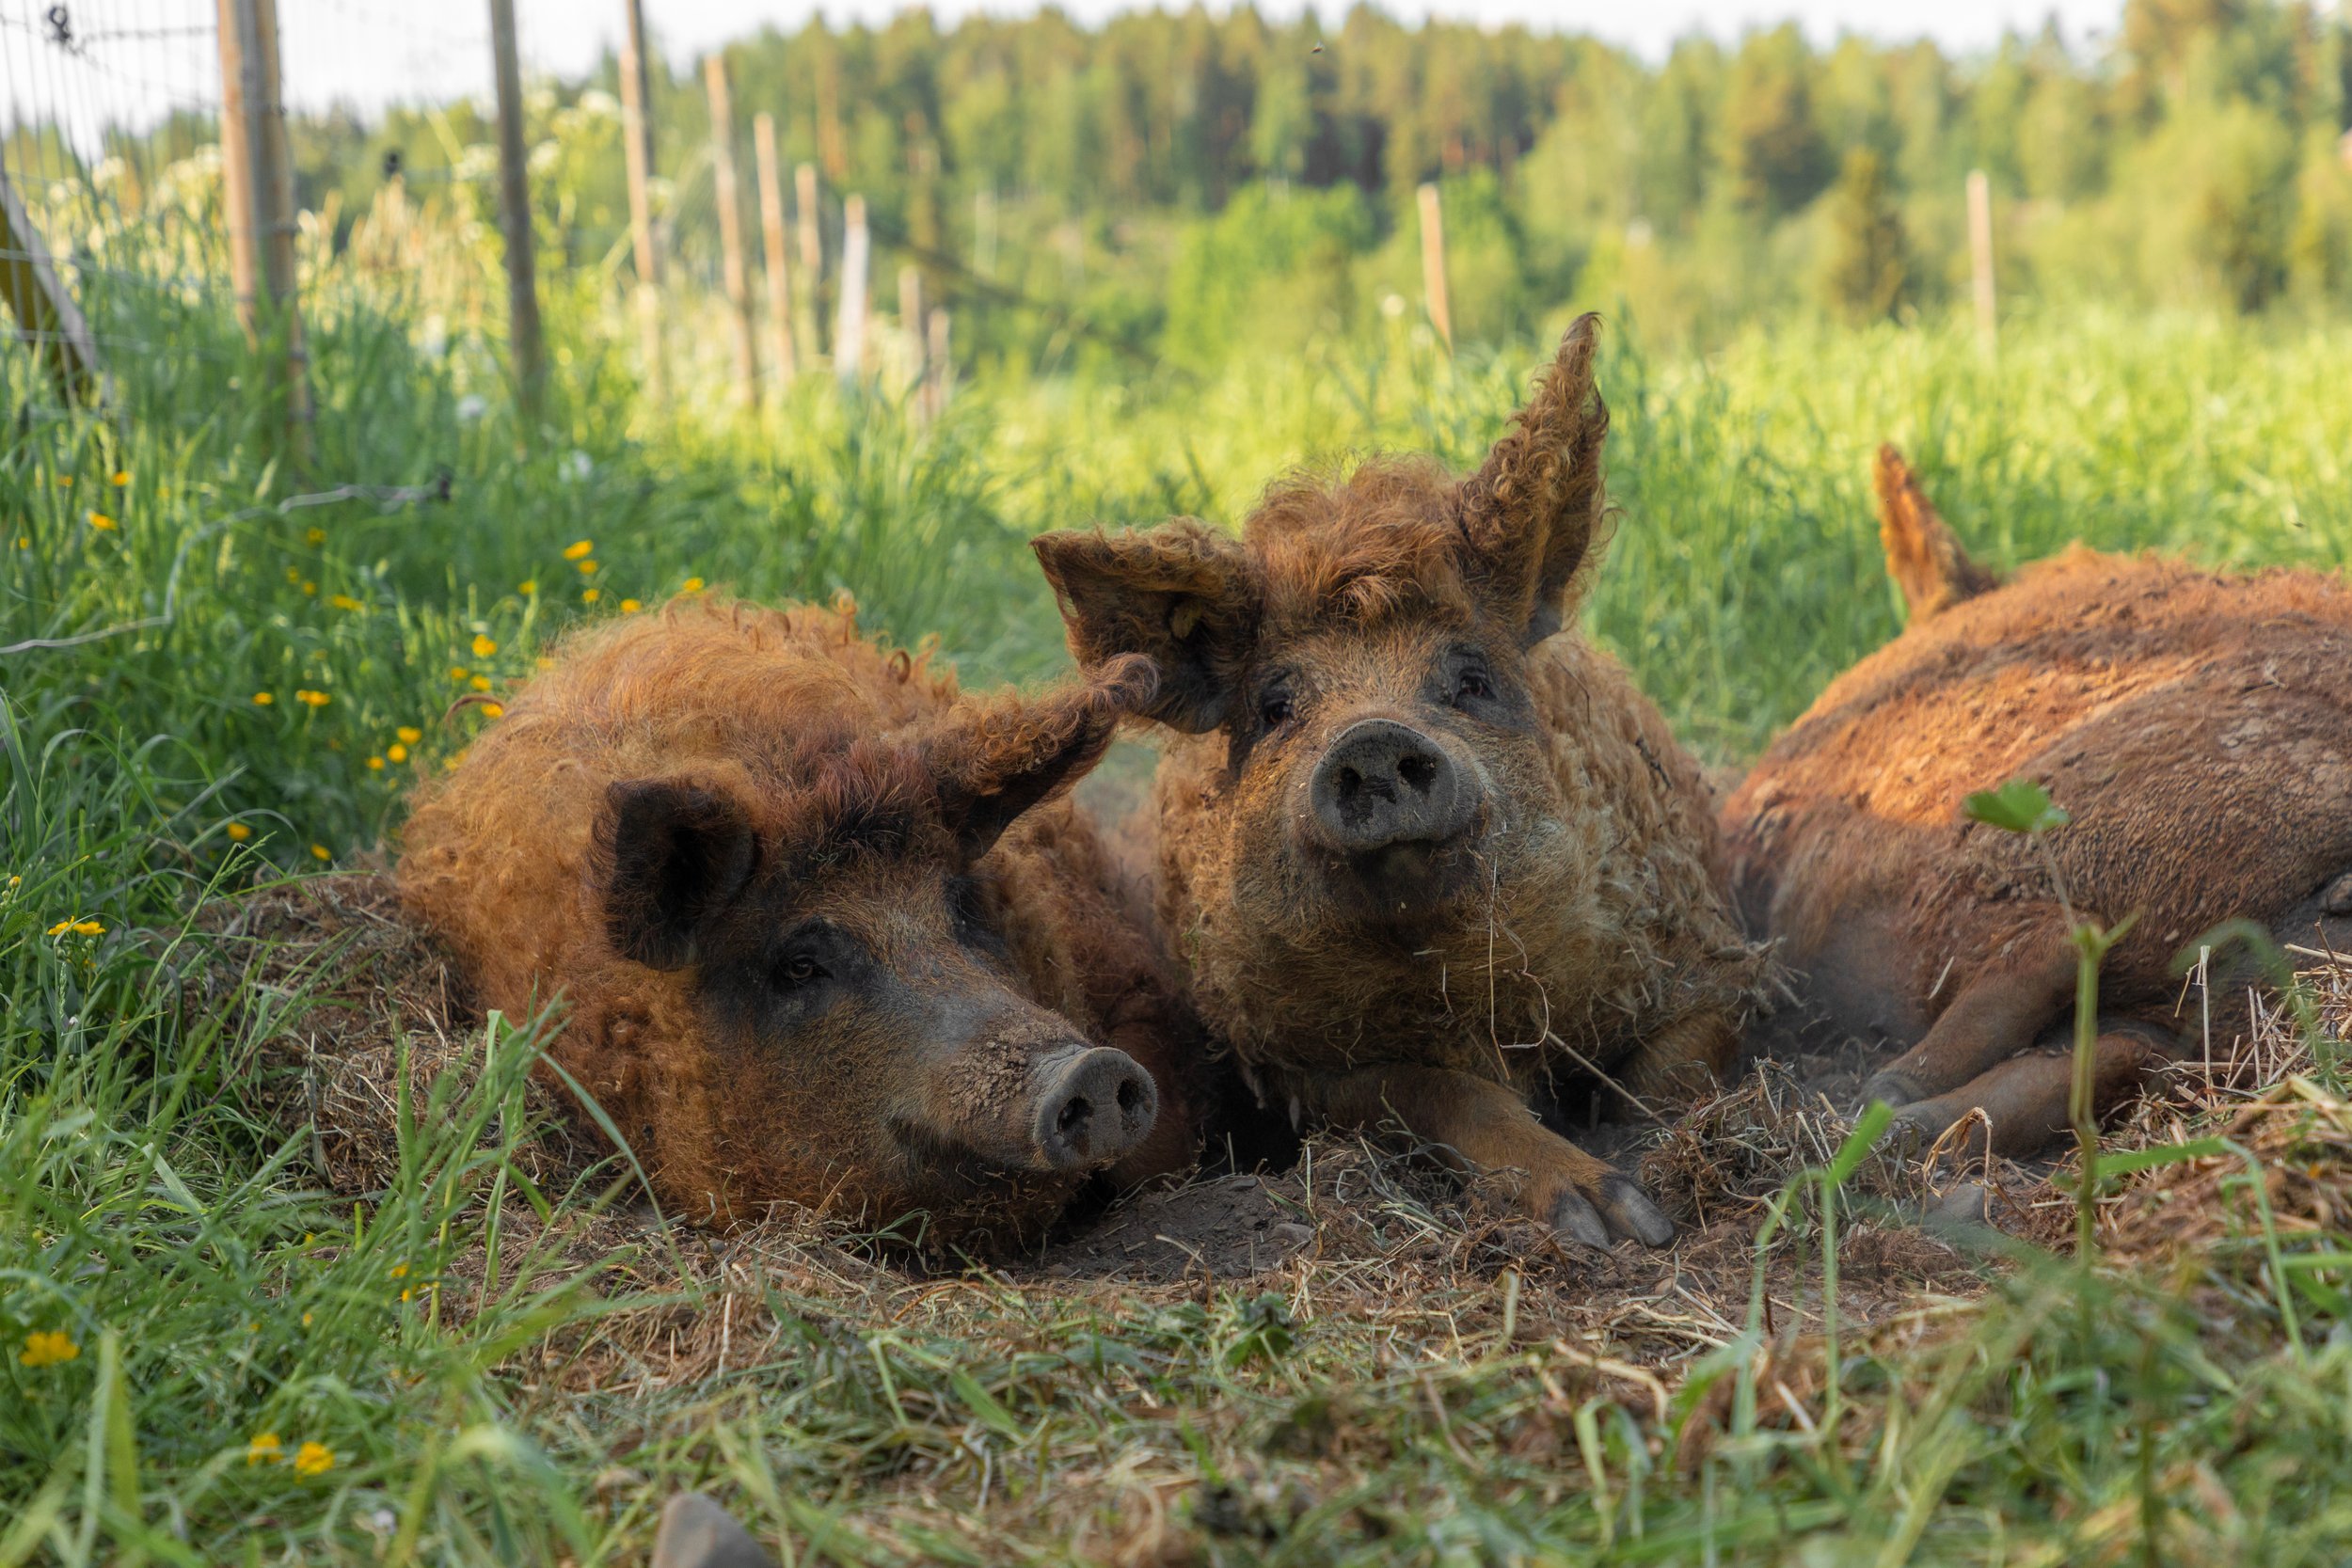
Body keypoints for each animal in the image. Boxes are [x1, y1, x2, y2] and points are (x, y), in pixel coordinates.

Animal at [1030, 314, 1769, 1250]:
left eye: (1471, 678)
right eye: (1276, 706)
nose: (1374, 737)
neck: (1459, 984)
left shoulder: (1705, 958)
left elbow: (1670, 1073)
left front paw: (1646, 1207)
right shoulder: (1303, 1068)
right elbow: (1440, 1091)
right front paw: (1601, 1217)